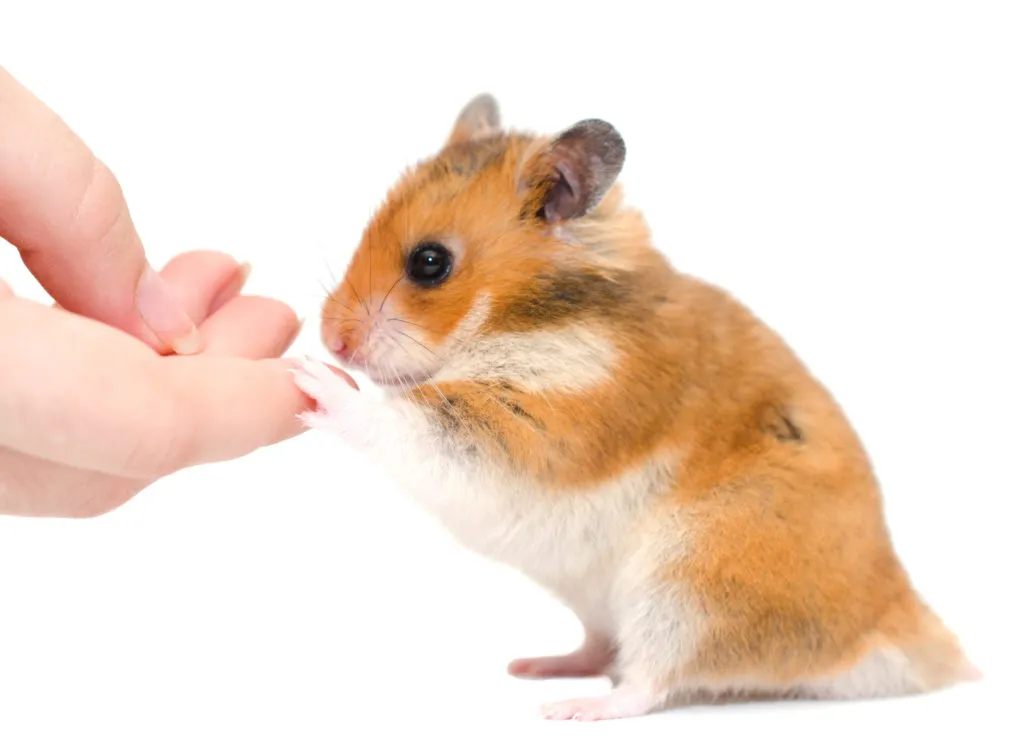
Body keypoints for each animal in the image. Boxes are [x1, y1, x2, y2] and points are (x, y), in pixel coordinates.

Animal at [292, 95, 978, 725]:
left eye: (429, 263)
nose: (330, 341)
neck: (532, 316)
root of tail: (901, 625)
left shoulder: (536, 423)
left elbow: (409, 419)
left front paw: (312, 378)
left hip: (693, 582)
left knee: (652, 679)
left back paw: (573, 709)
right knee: (603, 647)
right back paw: (536, 666)